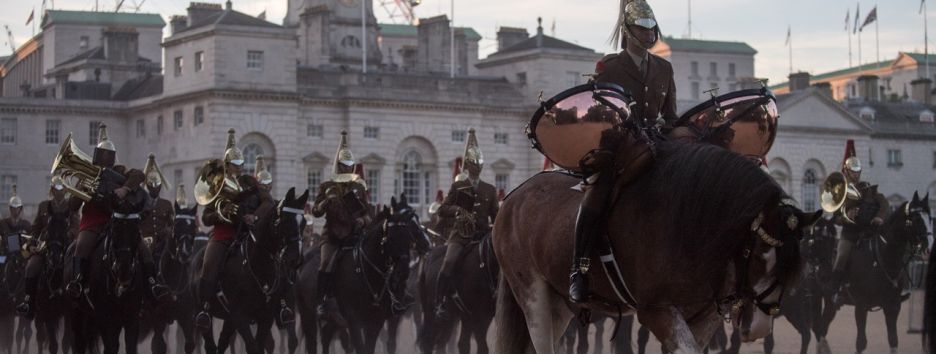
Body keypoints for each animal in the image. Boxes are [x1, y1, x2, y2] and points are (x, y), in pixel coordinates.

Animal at [193, 187, 308, 352]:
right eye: (286, 221)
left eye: (303, 222)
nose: (296, 259)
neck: (257, 264)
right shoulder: (240, 315)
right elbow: (253, 346)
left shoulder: (265, 316)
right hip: (203, 312)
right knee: (209, 342)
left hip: (229, 320)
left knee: (222, 342)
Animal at [498, 142, 820, 352]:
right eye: (759, 258)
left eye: (792, 269)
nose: (759, 328)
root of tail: (512, 197)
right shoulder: (656, 311)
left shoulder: (705, 316)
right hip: (533, 297)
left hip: (560, 304)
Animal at [840, 192, 928, 352]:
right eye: (916, 218)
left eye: (929, 217)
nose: (926, 249)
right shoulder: (861, 305)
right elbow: (861, 342)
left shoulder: (893, 305)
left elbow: (893, 339)